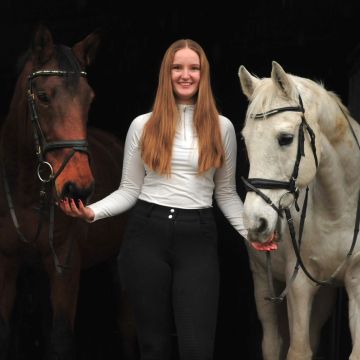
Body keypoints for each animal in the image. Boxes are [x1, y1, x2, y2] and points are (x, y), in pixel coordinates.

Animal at [0, 26, 135, 360]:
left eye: (89, 99)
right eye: (43, 96)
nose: (79, 187)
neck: (27, 194)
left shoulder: (65, 264)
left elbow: (60, 339)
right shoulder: (7, 263)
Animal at [239, 62, 360, 360]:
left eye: (285, 138)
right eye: (245, 140)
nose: (255, 222)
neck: (338, 212)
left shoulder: (355, 283)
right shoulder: (299, 287)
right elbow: (298, 350)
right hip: (264, 281)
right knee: (272, 342)